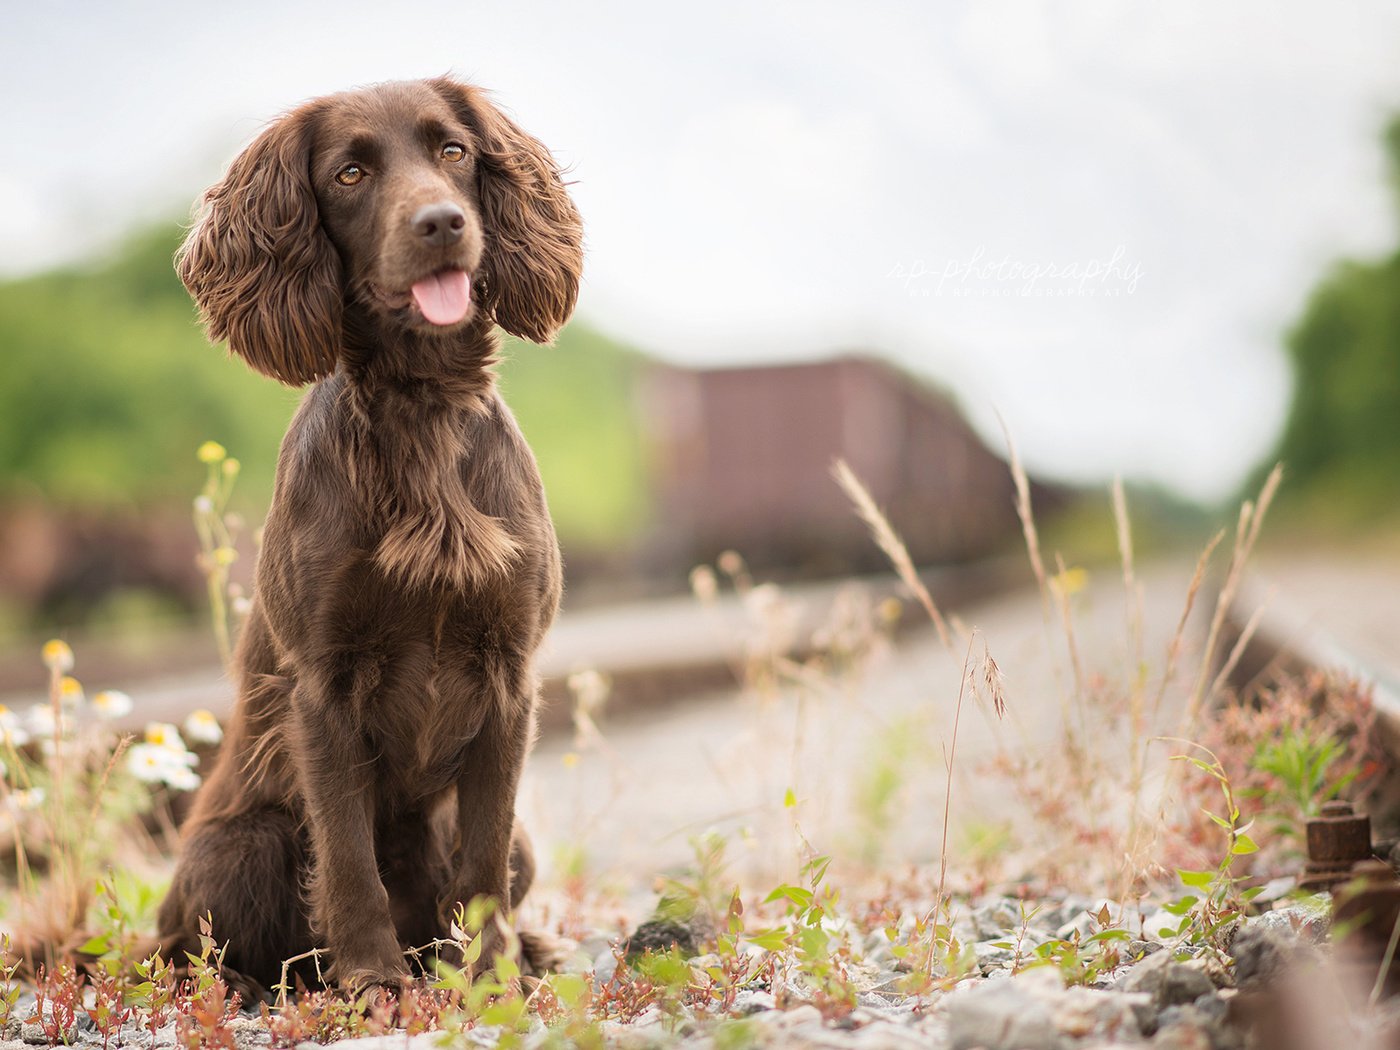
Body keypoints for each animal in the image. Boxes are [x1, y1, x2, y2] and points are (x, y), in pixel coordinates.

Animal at [157, 78, 579, 996]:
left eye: (454, 150)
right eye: (350, 173)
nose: (442, 224)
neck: (419, 404)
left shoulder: (509, 675)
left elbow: (482, 859)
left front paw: (489, 978)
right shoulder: (324, 686)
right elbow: (348, 855)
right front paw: (372, 983)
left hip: (524, 840)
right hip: (240, 844)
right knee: (183, 948)